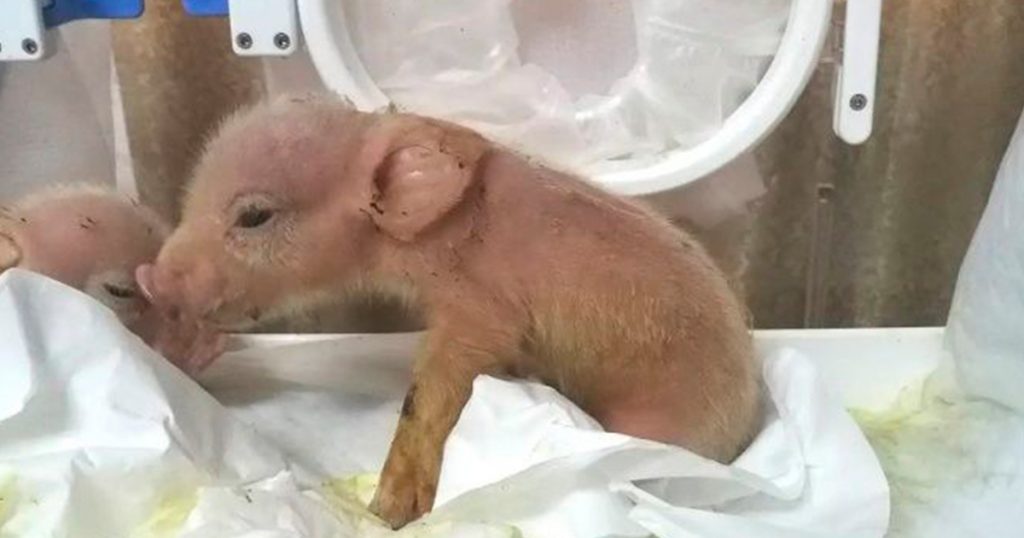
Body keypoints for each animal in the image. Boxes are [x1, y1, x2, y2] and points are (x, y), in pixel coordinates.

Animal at [137, 93, 762, 529]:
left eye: (254, 216)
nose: (150, 277)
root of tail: (745, 423)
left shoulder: (481, 310)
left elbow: (434, 389)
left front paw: (386, 511)